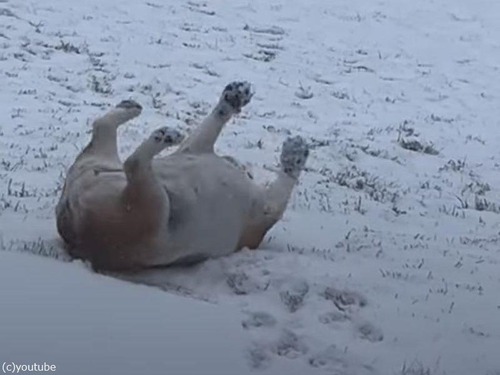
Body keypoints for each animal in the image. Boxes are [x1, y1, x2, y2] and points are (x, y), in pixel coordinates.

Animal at [56, 82, 310, 270]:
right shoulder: (266, 208)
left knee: (106, 131)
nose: (240, 166)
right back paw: (163, 135)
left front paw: (232, 99)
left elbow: (212, 123)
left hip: (106, 163)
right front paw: (295, 154)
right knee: (133, 163)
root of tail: (71, 225)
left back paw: (135, 112)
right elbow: (287, 179)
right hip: (151, 208)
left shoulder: (194, 148)